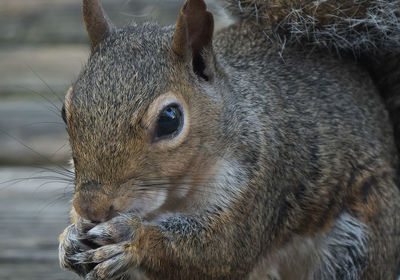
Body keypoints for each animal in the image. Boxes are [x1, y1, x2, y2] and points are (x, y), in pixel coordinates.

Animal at [57, 0, 400, 278]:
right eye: (64, 110)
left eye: (170, 120)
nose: (91, 207)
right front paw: (69, 239)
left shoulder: (260, 182)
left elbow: (220, 251)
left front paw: (132, 239)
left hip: (361, 239)